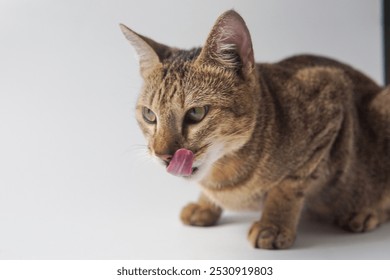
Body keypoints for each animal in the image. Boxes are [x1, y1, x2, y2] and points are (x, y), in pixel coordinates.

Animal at [120, 9, 388, 249]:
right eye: (149, 115)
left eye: (196, 113)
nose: (162, 155)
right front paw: (205, 205)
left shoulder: (331, 96)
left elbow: (289, 184)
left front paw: (274, 224)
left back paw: (366, 212)